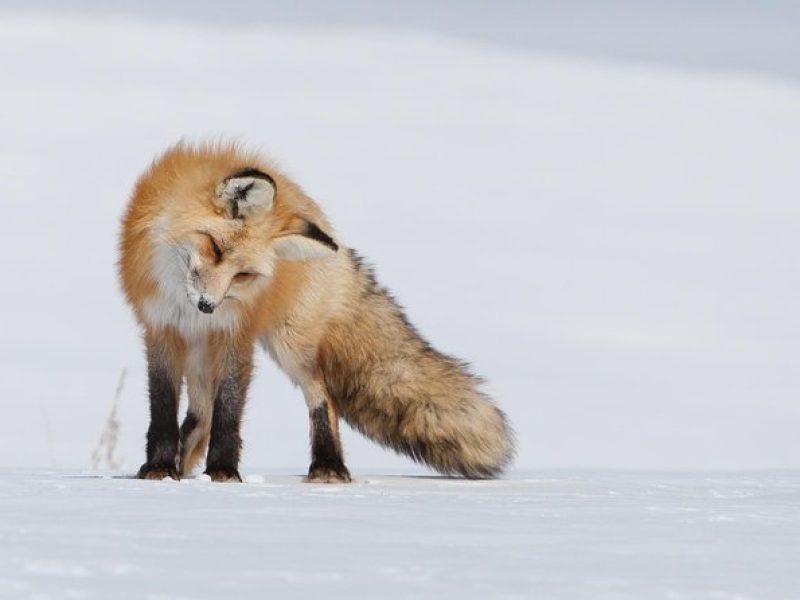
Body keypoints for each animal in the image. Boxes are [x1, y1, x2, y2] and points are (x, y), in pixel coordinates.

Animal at [122, 142, 516, 482]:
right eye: (215, 248)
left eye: (243, 275)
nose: (207, 306)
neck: (180, 299)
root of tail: (329, 230)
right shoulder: (161, 327)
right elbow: (163, 404)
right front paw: (160, 468)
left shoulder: (237, 332)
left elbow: (229, 408)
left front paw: (223, 472)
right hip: (203, 353)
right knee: (202, 412)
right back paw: (182, 463)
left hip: (290, 344)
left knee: (322, 394)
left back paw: (328, 468)